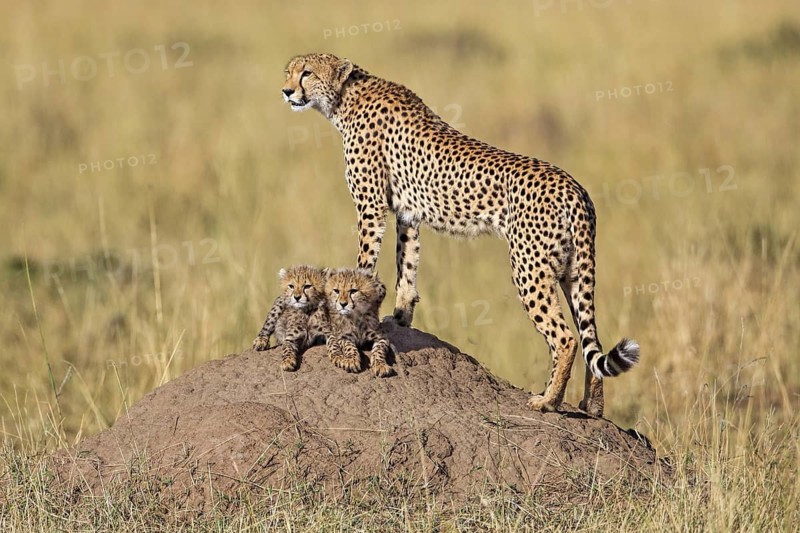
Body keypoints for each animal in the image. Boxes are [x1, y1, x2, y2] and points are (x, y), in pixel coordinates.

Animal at [281, 53, 639, 416]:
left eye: (306, 73)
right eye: (289, 72)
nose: (286, 91)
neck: (346, 97)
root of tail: (574, 187)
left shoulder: (371, 207)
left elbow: (366, 263)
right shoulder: (408, 214)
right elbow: (406, 267)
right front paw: (401, 317)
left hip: (530, 268)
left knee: (565, 337)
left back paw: (548, 400)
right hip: (574, 272)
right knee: (590, 336)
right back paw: (592, 406)